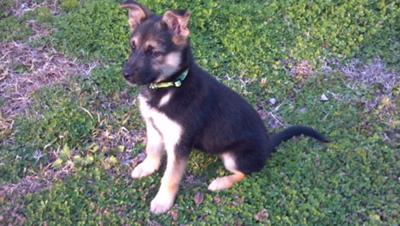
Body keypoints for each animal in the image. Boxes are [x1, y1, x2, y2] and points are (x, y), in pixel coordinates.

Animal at [121, 0, 328, 214]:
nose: (125, 74)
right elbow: (152, 150)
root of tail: (268, 145)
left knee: (246, 173)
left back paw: (221, 182)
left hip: (233, 157)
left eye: (154, 52)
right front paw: (147, 167)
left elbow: (170, 176)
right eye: (132, 46)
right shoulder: (153, 126)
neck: (170, 86)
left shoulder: (179, 144)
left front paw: (163, 201)